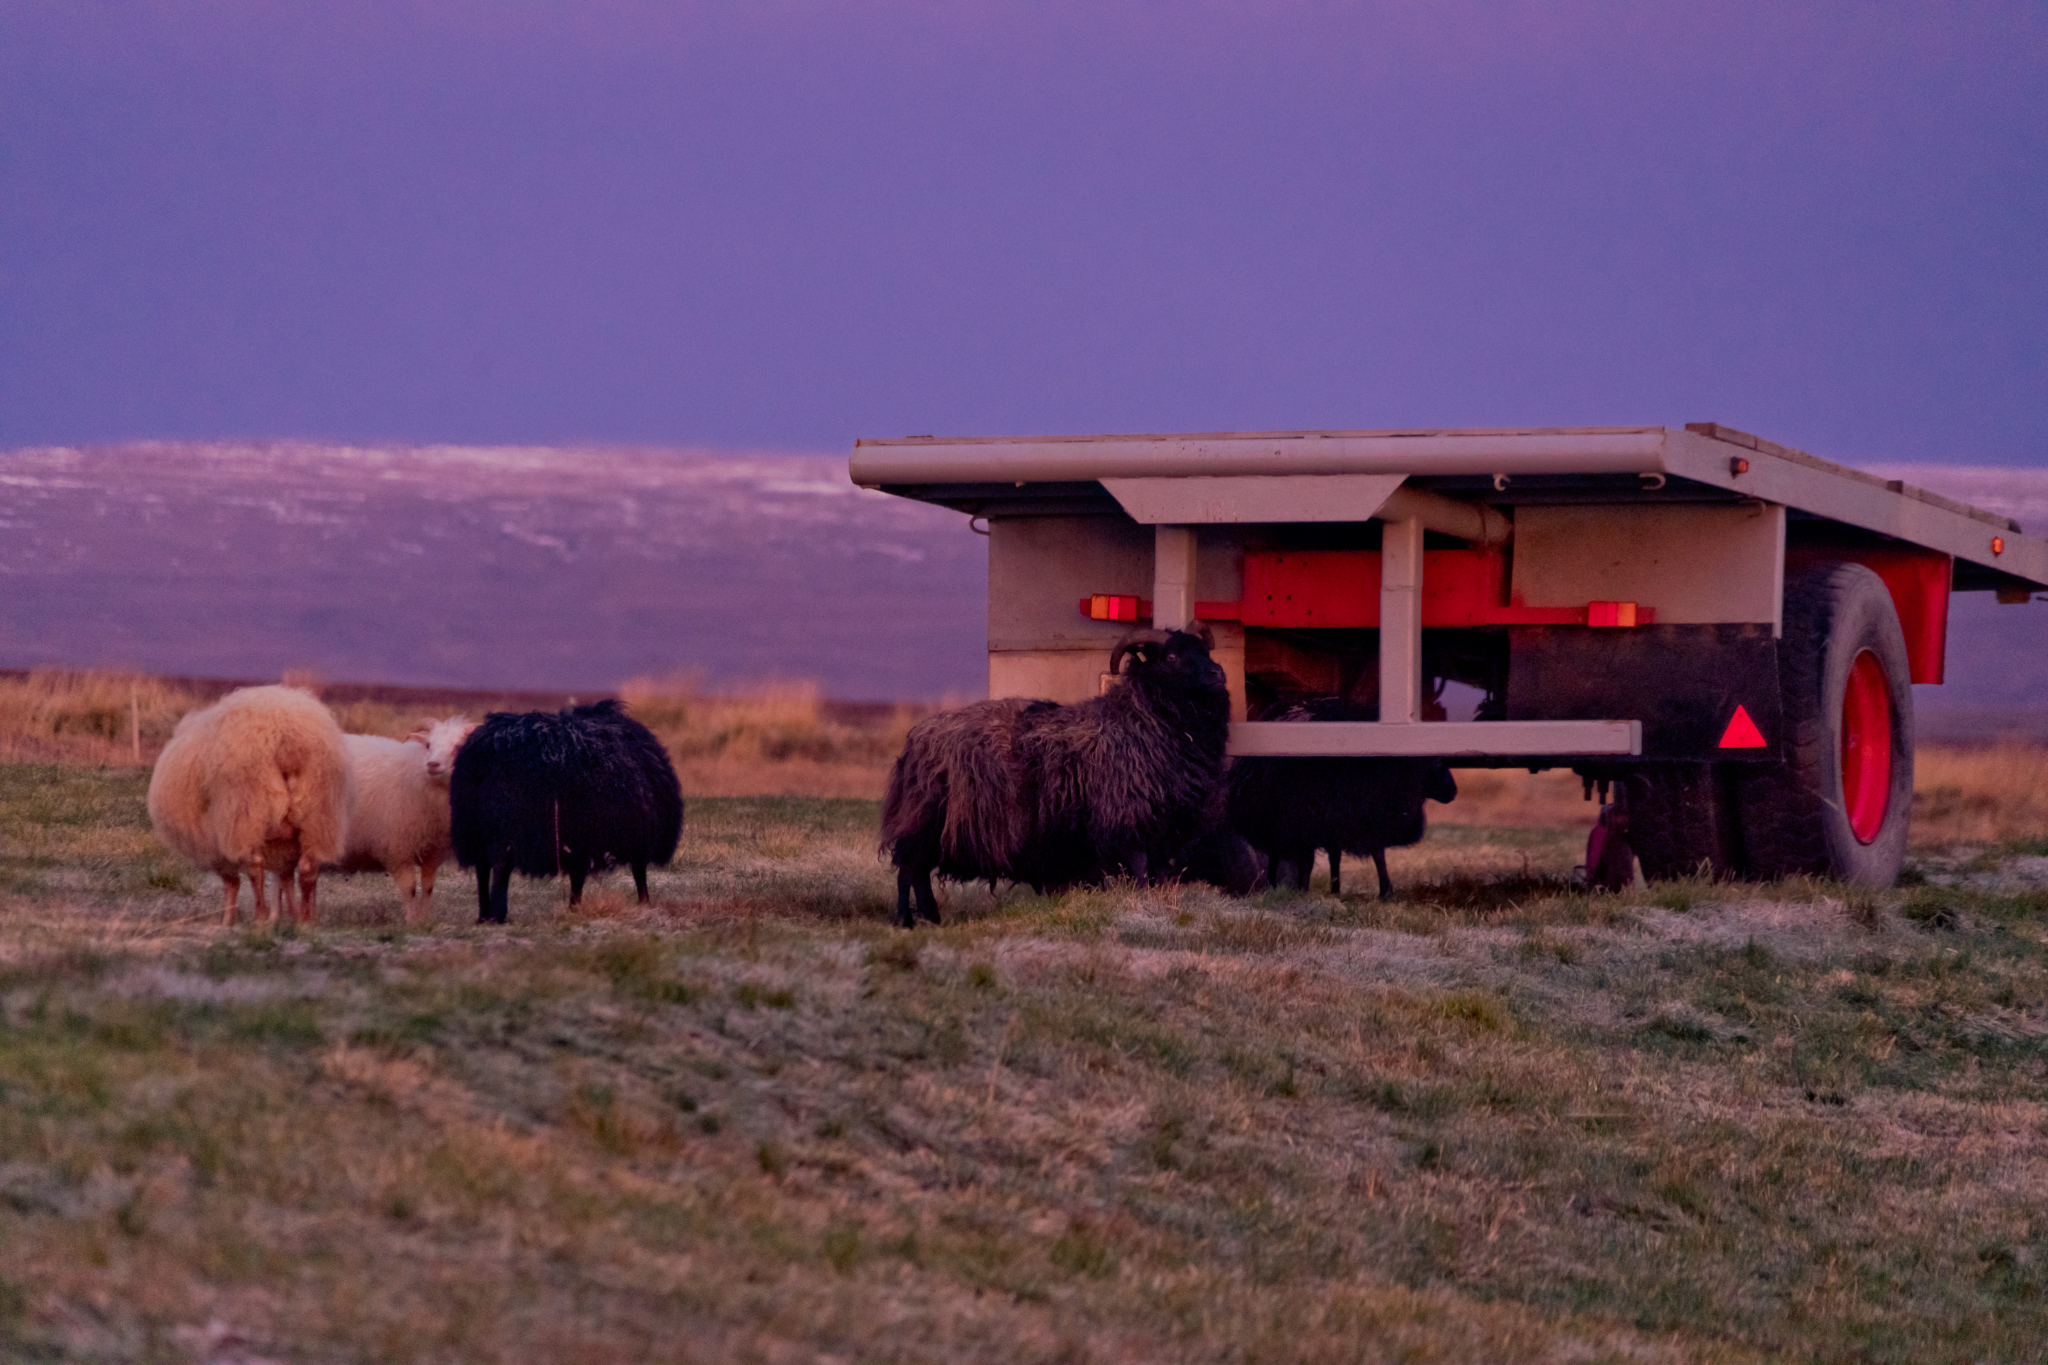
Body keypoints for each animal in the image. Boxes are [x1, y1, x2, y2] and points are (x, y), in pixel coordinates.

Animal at [146, 683, 352, 929]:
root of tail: (286, 738)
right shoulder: (284, 845)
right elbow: (285, 877)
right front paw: (291, 915)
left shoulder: (217, 845)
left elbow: (232, 883)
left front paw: (228, 920)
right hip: (319, 816)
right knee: (308, 867)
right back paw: (305, 920)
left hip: (245, 815)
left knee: (255, 866)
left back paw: (261, 916)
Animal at [333, 716, 481, 929]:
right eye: (428, 745)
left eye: (458, 746)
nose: (432, 764)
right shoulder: (398, 848)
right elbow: (410, 888)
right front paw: (411, 921)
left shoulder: (432, 850)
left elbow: (428, 887)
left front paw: (426, 919)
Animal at [452, 699, 684, 925]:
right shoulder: (590, 839)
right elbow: (630, 874)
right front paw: (642, 903)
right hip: (508, 825)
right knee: (500, 865)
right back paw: (497, 914)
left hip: (473, 829)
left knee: (482, 867)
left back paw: (483, 915)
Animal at [880, 630, 1228, 929]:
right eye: (1171, 656)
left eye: (1205, 651)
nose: (1218, 674)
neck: (1142, 719)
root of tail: (916, 737)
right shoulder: (1129, 822)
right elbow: (1142, 874)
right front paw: (1143, 906)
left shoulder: (1165, 830)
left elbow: (1161, 876)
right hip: (923, 822)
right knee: (908, 870)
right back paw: (906, 921)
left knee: (919, 871)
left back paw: (931, 918)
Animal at [1228, 699, 1458, 900]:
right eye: (1437, 761)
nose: (1453, 792)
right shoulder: (1365, 817)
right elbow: (1378, 855)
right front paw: (1386, 892)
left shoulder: (1337, 821)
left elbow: (1336, 858)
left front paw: (1336, 890)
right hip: (1292, 817)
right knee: (1294, 856)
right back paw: (1291, 888)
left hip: (1277, 817)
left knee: (1277, 853)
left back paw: (1275, 886)